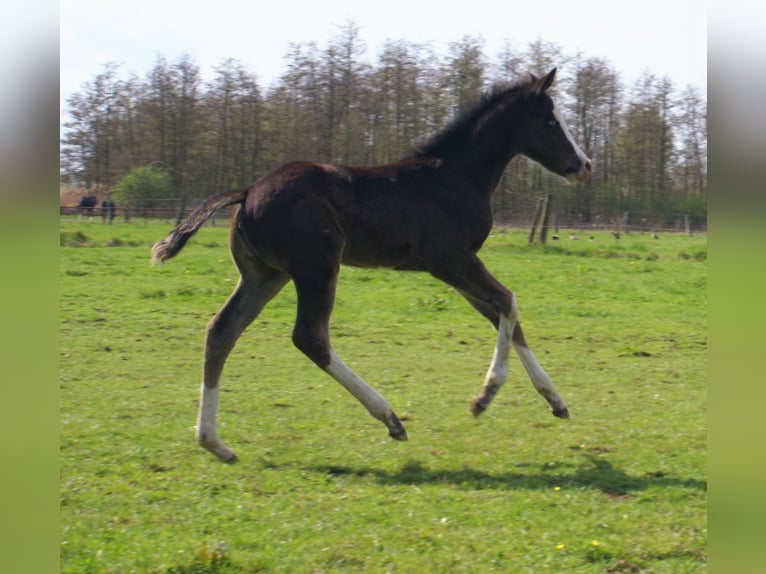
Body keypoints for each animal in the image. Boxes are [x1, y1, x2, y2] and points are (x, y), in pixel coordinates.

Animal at [152, 68, 591, 462]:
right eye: (551, 120)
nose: (585, 165)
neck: (457, 175)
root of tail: (246, 192)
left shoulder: (459, 267)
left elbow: (503, 315)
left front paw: (555, 400)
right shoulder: (451, 261)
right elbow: (508, 302)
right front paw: (485, 397)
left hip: (265, 275)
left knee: (222, 331)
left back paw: (214, 442)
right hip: (316, 269)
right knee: (309, 337)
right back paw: (389, 417)